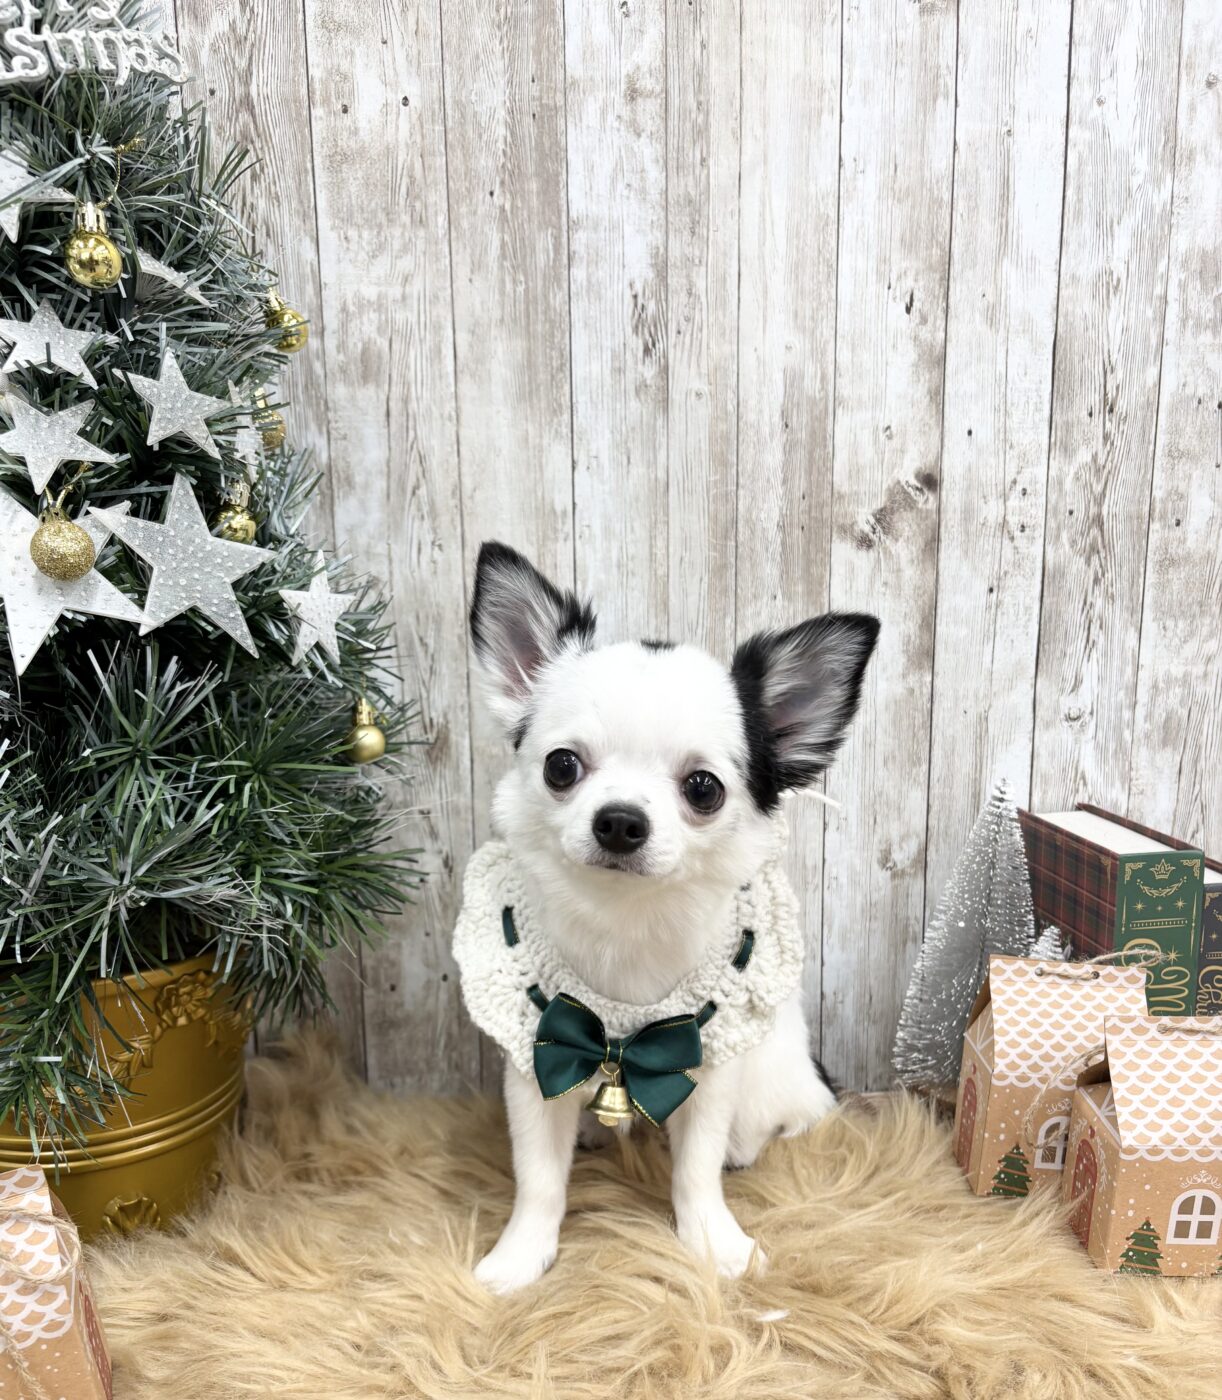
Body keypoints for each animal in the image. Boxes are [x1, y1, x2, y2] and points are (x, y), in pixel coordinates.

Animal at [457, 541, 879, 1293]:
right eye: (561, 767)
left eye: (703, 788)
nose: (620, 819)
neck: (626, 923)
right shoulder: (538, 1059)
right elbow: (539, 1179)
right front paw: (520, 1256)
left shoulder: (709, 1062)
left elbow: (697, 1170)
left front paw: (714, 1243)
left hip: (772, 1074)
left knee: (769, 1125)